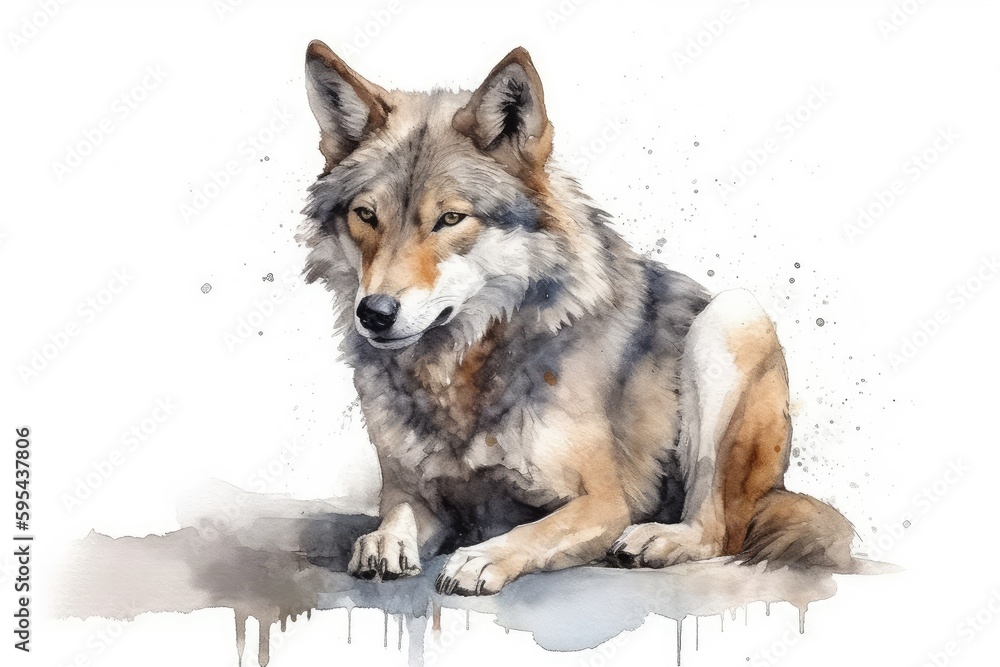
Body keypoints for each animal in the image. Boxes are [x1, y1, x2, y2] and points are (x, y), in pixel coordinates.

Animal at [299, 41, 854, 596]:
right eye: (367, 216)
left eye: (451, 219)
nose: (374, 313)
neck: (463, 369)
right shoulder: (420, 494)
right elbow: (395, 516)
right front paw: (382, 542)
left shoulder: (605, 502)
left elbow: (535, 530)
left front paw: (481, 558)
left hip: (732, 316)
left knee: (721, 530)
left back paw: (658, 539)